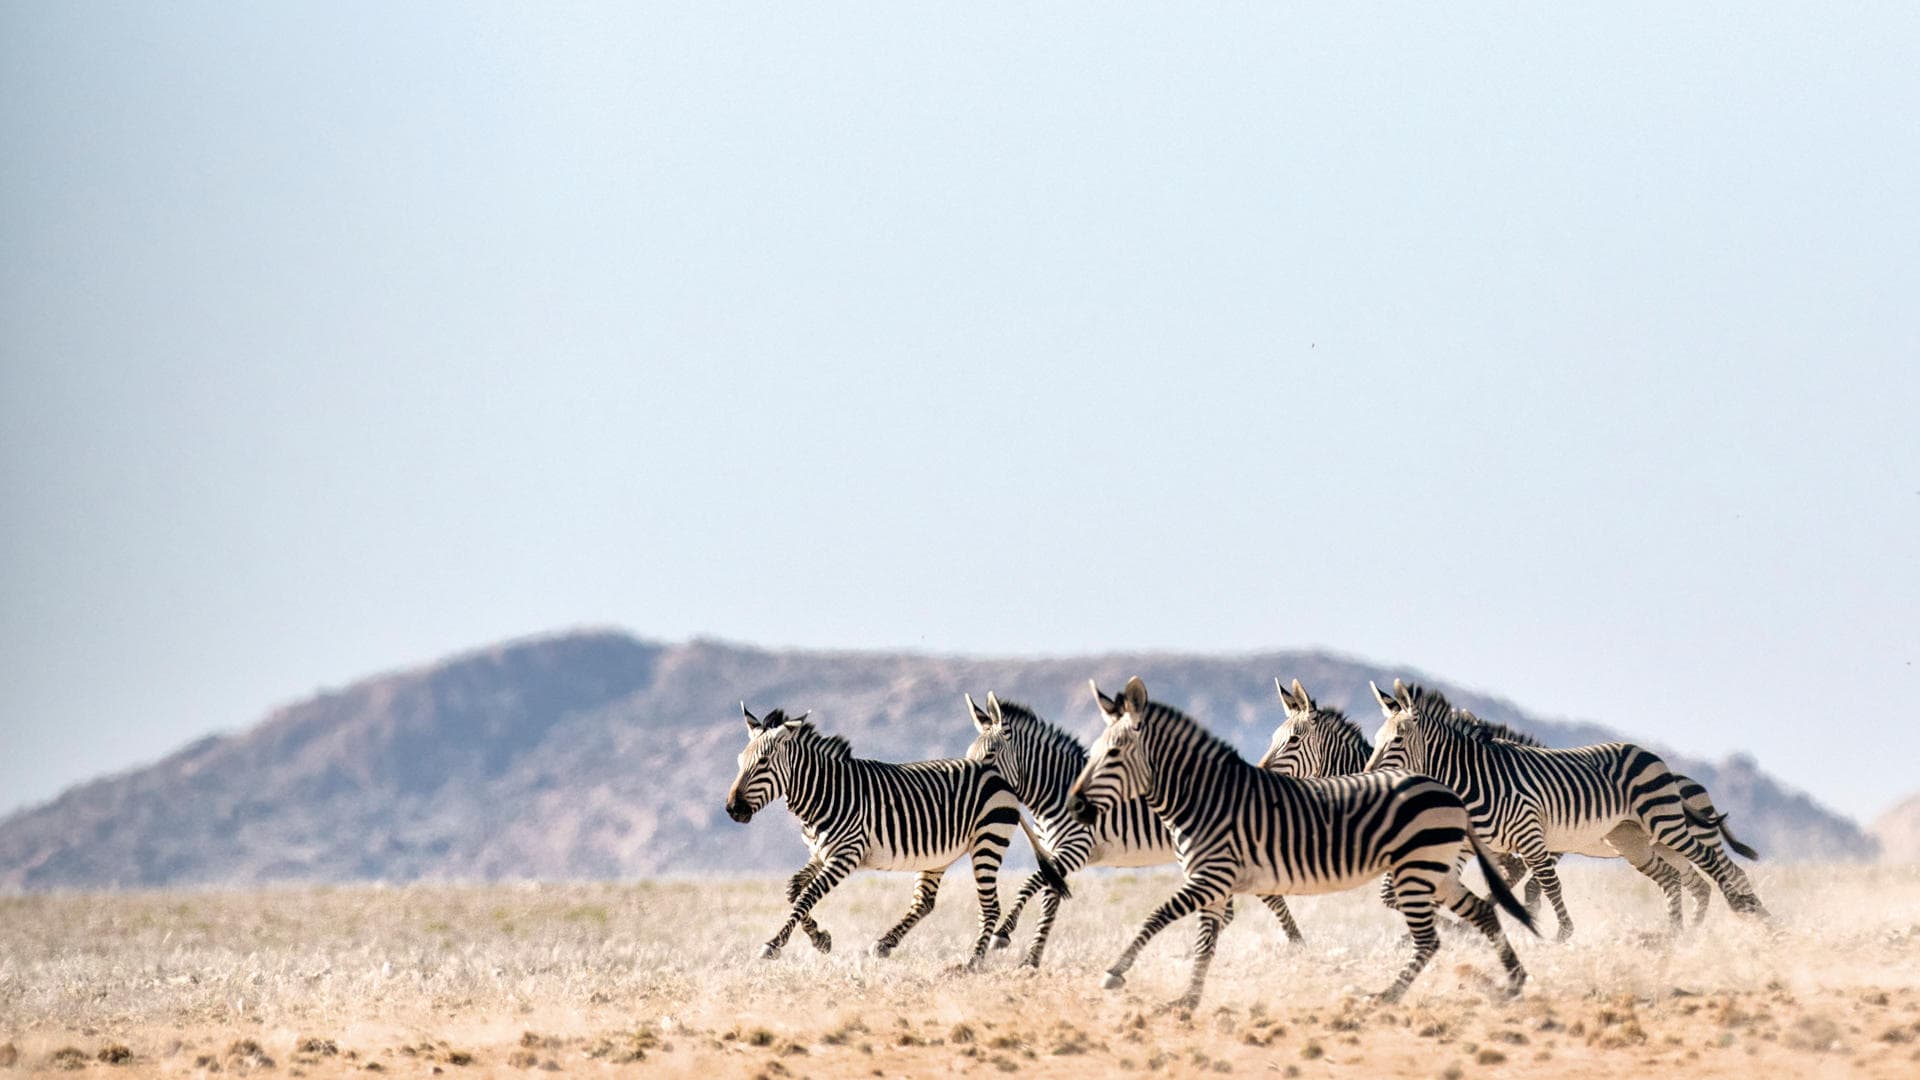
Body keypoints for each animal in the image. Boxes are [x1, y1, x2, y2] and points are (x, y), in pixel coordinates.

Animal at [724, 703, 1070, 965]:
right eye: (739, 761)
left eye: (763, 762)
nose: (732, 809)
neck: (825, 792)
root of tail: (1000, 777)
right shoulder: (820, 854)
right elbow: (794, 890)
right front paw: (820, 938)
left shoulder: (845, 854)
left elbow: (807, 895)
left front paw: (774, 943)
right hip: (938, 855)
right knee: (925, 902)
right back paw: (886, 943)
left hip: (988, 841)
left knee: (990, 907)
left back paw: (972, 963)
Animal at [962, 692, 1304, 968]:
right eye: (968, 756)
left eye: (989, 755)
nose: (973, 788)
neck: (1053, 791)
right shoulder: (1054, 853)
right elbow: (1049, 900)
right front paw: (1032, 959)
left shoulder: (1076, 848)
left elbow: (1030, 883)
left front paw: (1005, 933)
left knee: (1266, 898)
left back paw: (1296, 943)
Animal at [1065, 677, 1535, 1007]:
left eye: (1113, 754)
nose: (1075, 805)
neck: (1204, 797)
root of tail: (1447, 791)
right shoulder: (1216, 883)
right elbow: (1205, 942)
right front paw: (1187, 999)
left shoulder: (1213, 878)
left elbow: (1157, 915)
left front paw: (1116, 972)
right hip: (1434, 869)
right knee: (1484, 908)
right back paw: (1512, 981)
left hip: (1420, 869)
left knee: (1437, 934)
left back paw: (1388, 995)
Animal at [1363, 679, 1768, 940]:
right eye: (1376, 740)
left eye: (1397, 740)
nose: (1366, 776)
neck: (1475, 779)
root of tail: (1653, 756)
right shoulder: (1474, 842)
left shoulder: (1534, 837)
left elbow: (1544, 884)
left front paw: (1560, 932)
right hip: (1635, 842)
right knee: (1680, 879)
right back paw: (1678, 933)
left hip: (1668, 825)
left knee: (1719, 867)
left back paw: (1748, 912)